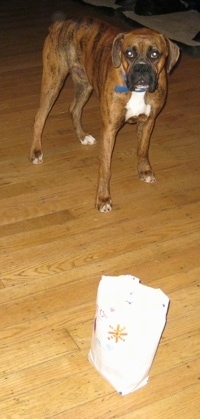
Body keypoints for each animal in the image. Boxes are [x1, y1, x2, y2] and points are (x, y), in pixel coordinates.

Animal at [30, 17, 180, 212]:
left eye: (155, 54)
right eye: (128, 53)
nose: (141, 69)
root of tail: (61, 23)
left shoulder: (148, 121)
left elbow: (142, 149)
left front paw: (144, 171)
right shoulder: (109, 129)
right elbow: (105, 168)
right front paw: (103, 199)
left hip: (85, 84)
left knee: (74, 109)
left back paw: (83, 136)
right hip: (53, 82)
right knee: (40, 117)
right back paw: (36, 152)